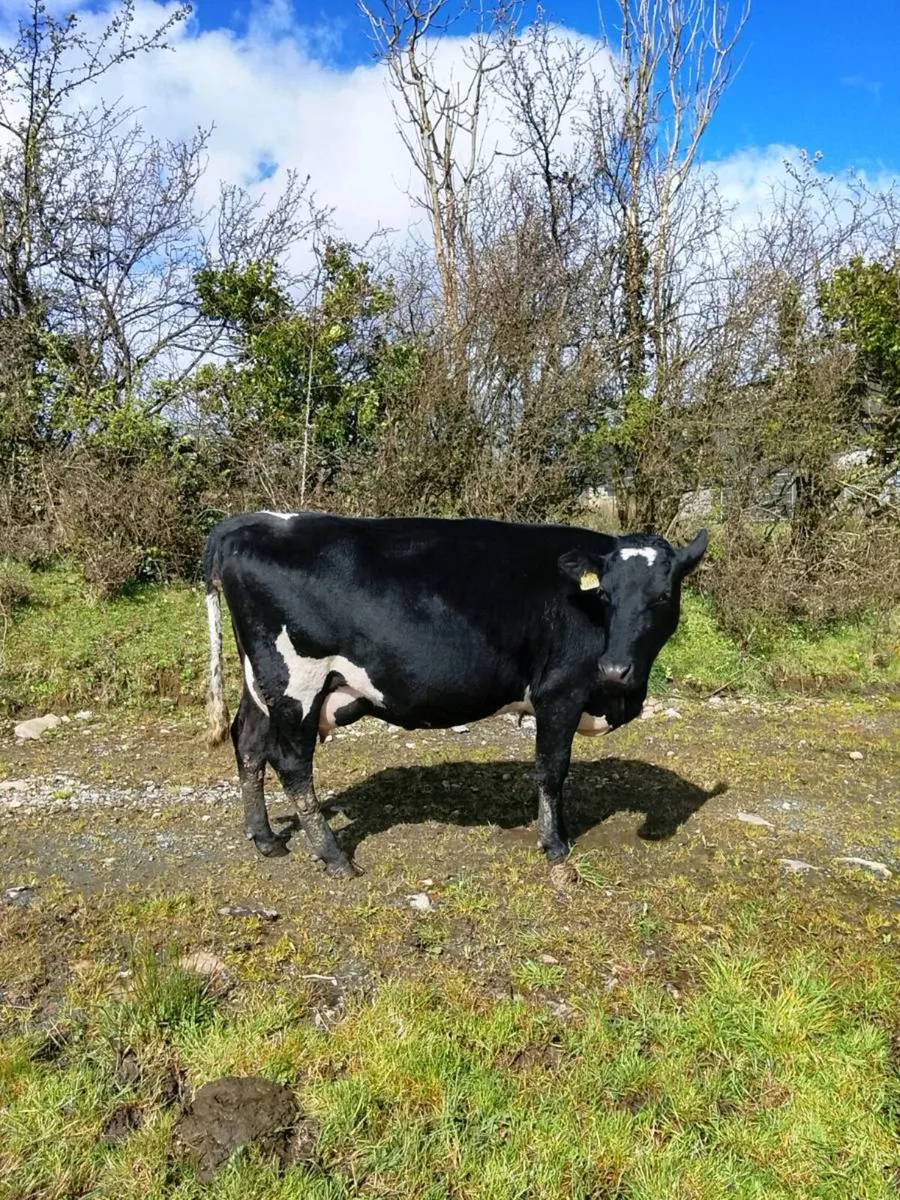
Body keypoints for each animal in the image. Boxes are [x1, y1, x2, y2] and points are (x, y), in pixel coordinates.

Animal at [203, 512, 707, 879]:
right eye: (604, 595)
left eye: (663, 596)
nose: (614, 668)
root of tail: (251, 521)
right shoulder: (560, 691)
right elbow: (551, 770)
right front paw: (554, 844)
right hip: (296, 683)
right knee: (291, 764)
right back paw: (334, 858)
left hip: (259, 681)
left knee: (248, 743)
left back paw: (265, 838)